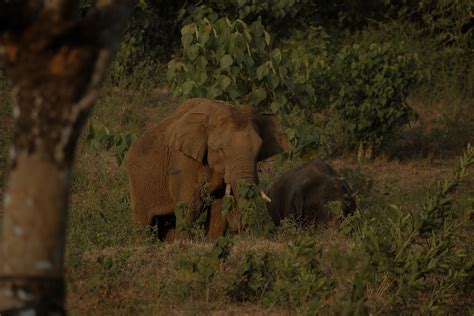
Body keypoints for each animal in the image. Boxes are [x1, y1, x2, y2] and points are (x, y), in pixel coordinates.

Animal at [127, 97, 288, 241]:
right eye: (221, 149)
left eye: (259, 149)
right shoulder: (182, 160)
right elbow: (190, 204)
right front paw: (183, 245)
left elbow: (218, 206)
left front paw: (213, 242)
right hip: (137, 183)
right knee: (143, 222)